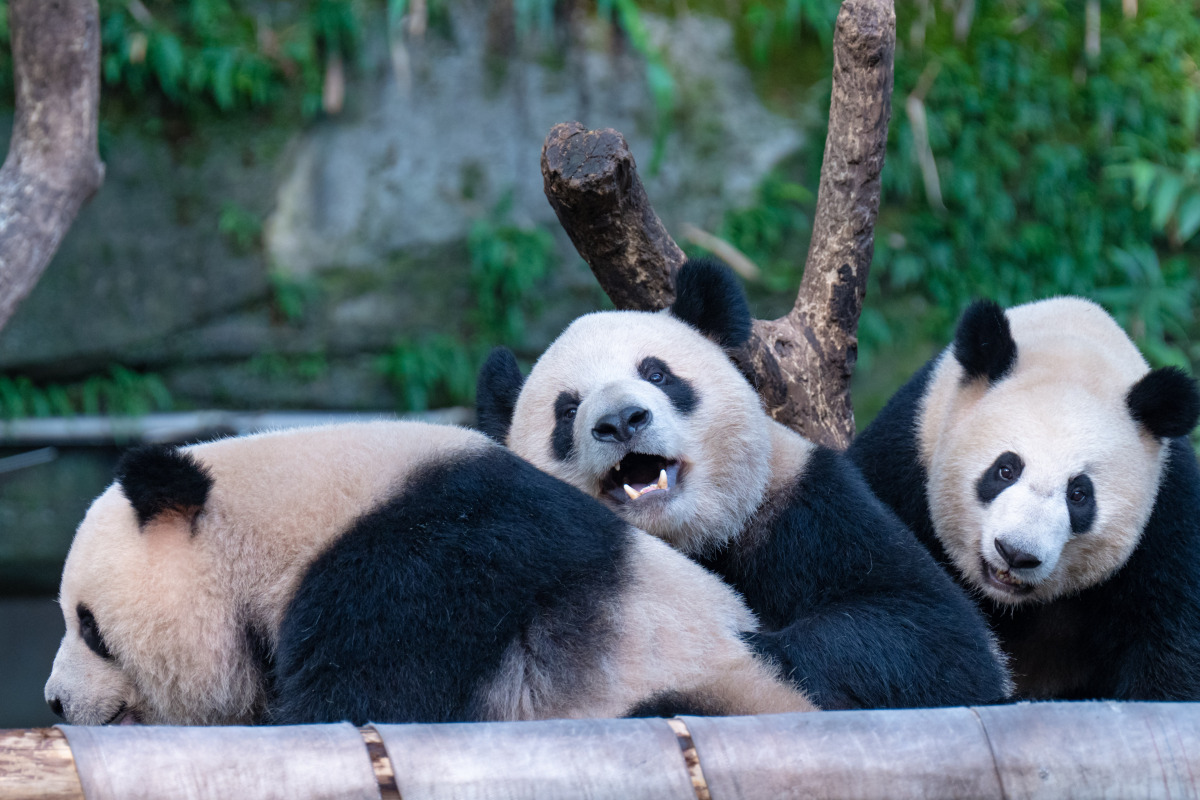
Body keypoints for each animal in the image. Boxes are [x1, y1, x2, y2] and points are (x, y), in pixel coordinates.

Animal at [477, 260, 1012, 710]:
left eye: (657, 373)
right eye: (567, 410)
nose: (621, 421)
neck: (688, 535)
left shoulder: (805, 503)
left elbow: (935, 636)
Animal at [849, 296, 1200, 700]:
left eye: (1079, 494)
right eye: (1006, 470)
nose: (1016, 553)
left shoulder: (1169, 516)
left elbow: (1170, 646)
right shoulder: (907, 454)